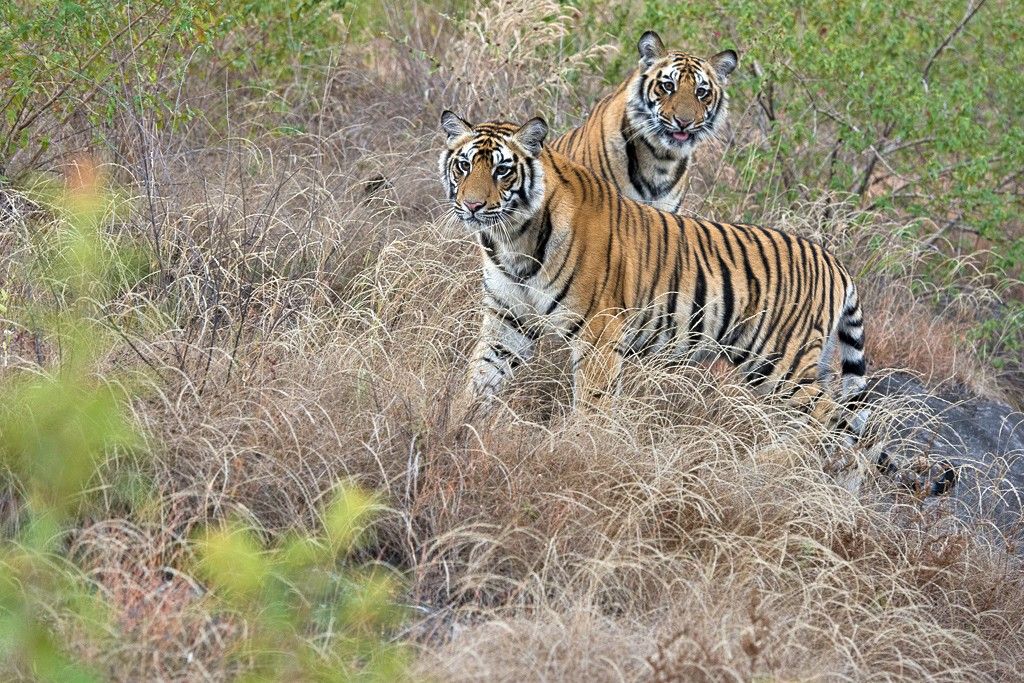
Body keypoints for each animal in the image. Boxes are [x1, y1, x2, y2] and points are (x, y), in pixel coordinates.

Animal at [439, 110, 957, 496]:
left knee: (827, 416)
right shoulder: (507, 321)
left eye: (502, 169)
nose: (473, 206)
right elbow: (480, 379)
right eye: (464, 166)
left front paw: (573, 450)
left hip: (779, 362)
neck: (512, 239)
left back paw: (760, 466)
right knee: (852, 427)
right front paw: (454, 425)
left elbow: (592, 403)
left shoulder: (599, 333)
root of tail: (835, 263)